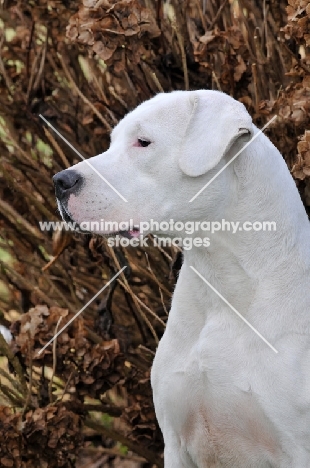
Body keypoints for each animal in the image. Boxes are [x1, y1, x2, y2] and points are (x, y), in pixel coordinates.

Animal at [54, 89, 310, 466]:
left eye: (143, 142)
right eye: (113, 142)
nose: (60, 181)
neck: (221, 280)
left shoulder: (295, 448)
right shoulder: (174, 443)